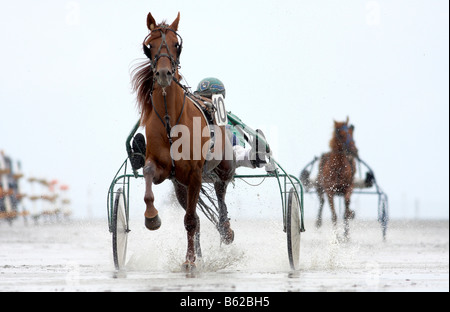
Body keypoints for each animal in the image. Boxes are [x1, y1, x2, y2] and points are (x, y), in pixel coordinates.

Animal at [131, 12, 234, 270]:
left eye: (176, 44)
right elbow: (148, 173)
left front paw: (189, 260)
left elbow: (189, 220)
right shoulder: (166, 171)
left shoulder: (195, 174)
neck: (171, 121)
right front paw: (152, 217)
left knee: (220, 192)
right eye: (149, 45)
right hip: (180, 185)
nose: (163, 74)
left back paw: (226, 229)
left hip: (222, 168)